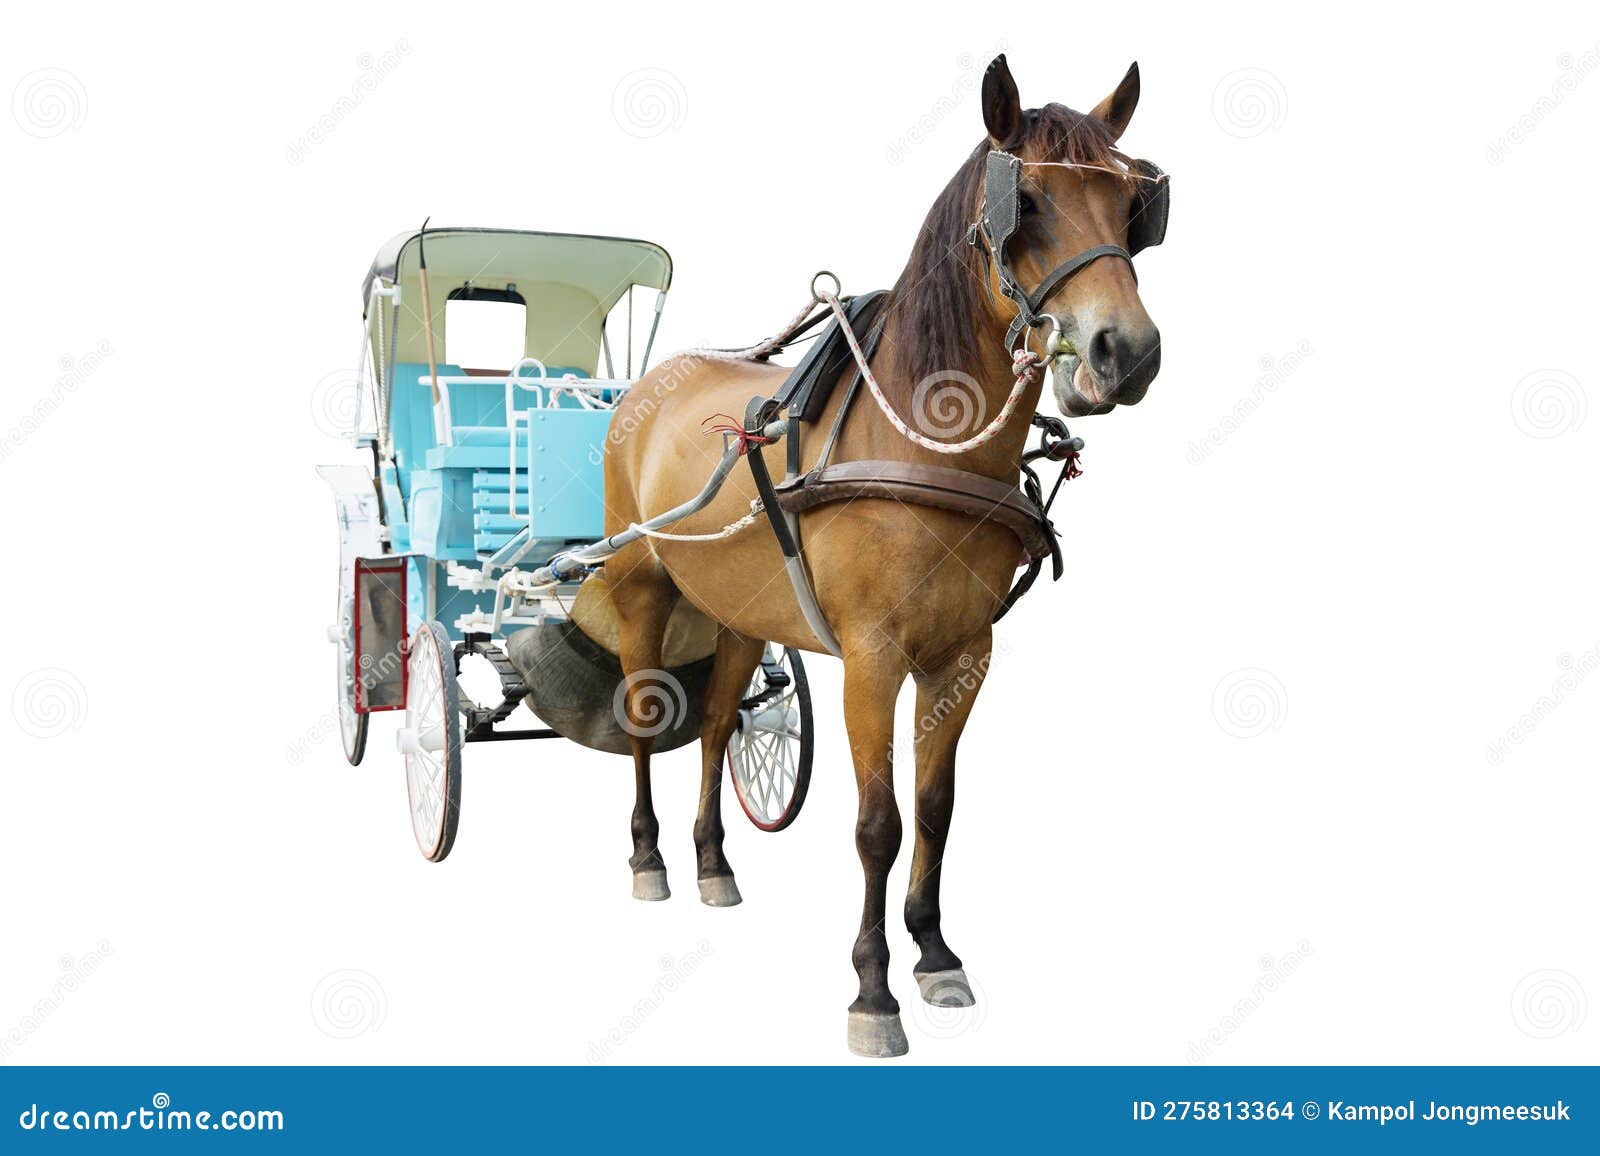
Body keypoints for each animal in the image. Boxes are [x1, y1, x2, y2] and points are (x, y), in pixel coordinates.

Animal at [599, 54, 1164, 1057]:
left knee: (716, 724)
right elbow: (877, 823)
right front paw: (873, 992)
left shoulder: (963, 654)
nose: (1124, 352)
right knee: (643, 718)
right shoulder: (872, 657)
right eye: (1026, 204)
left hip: (737, 610)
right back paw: (649, 856)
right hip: (641, 587)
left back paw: (711, 862)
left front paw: (935, 955)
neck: (920, 441)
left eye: (1134, 201)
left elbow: (936, 809)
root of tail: (649, 385)